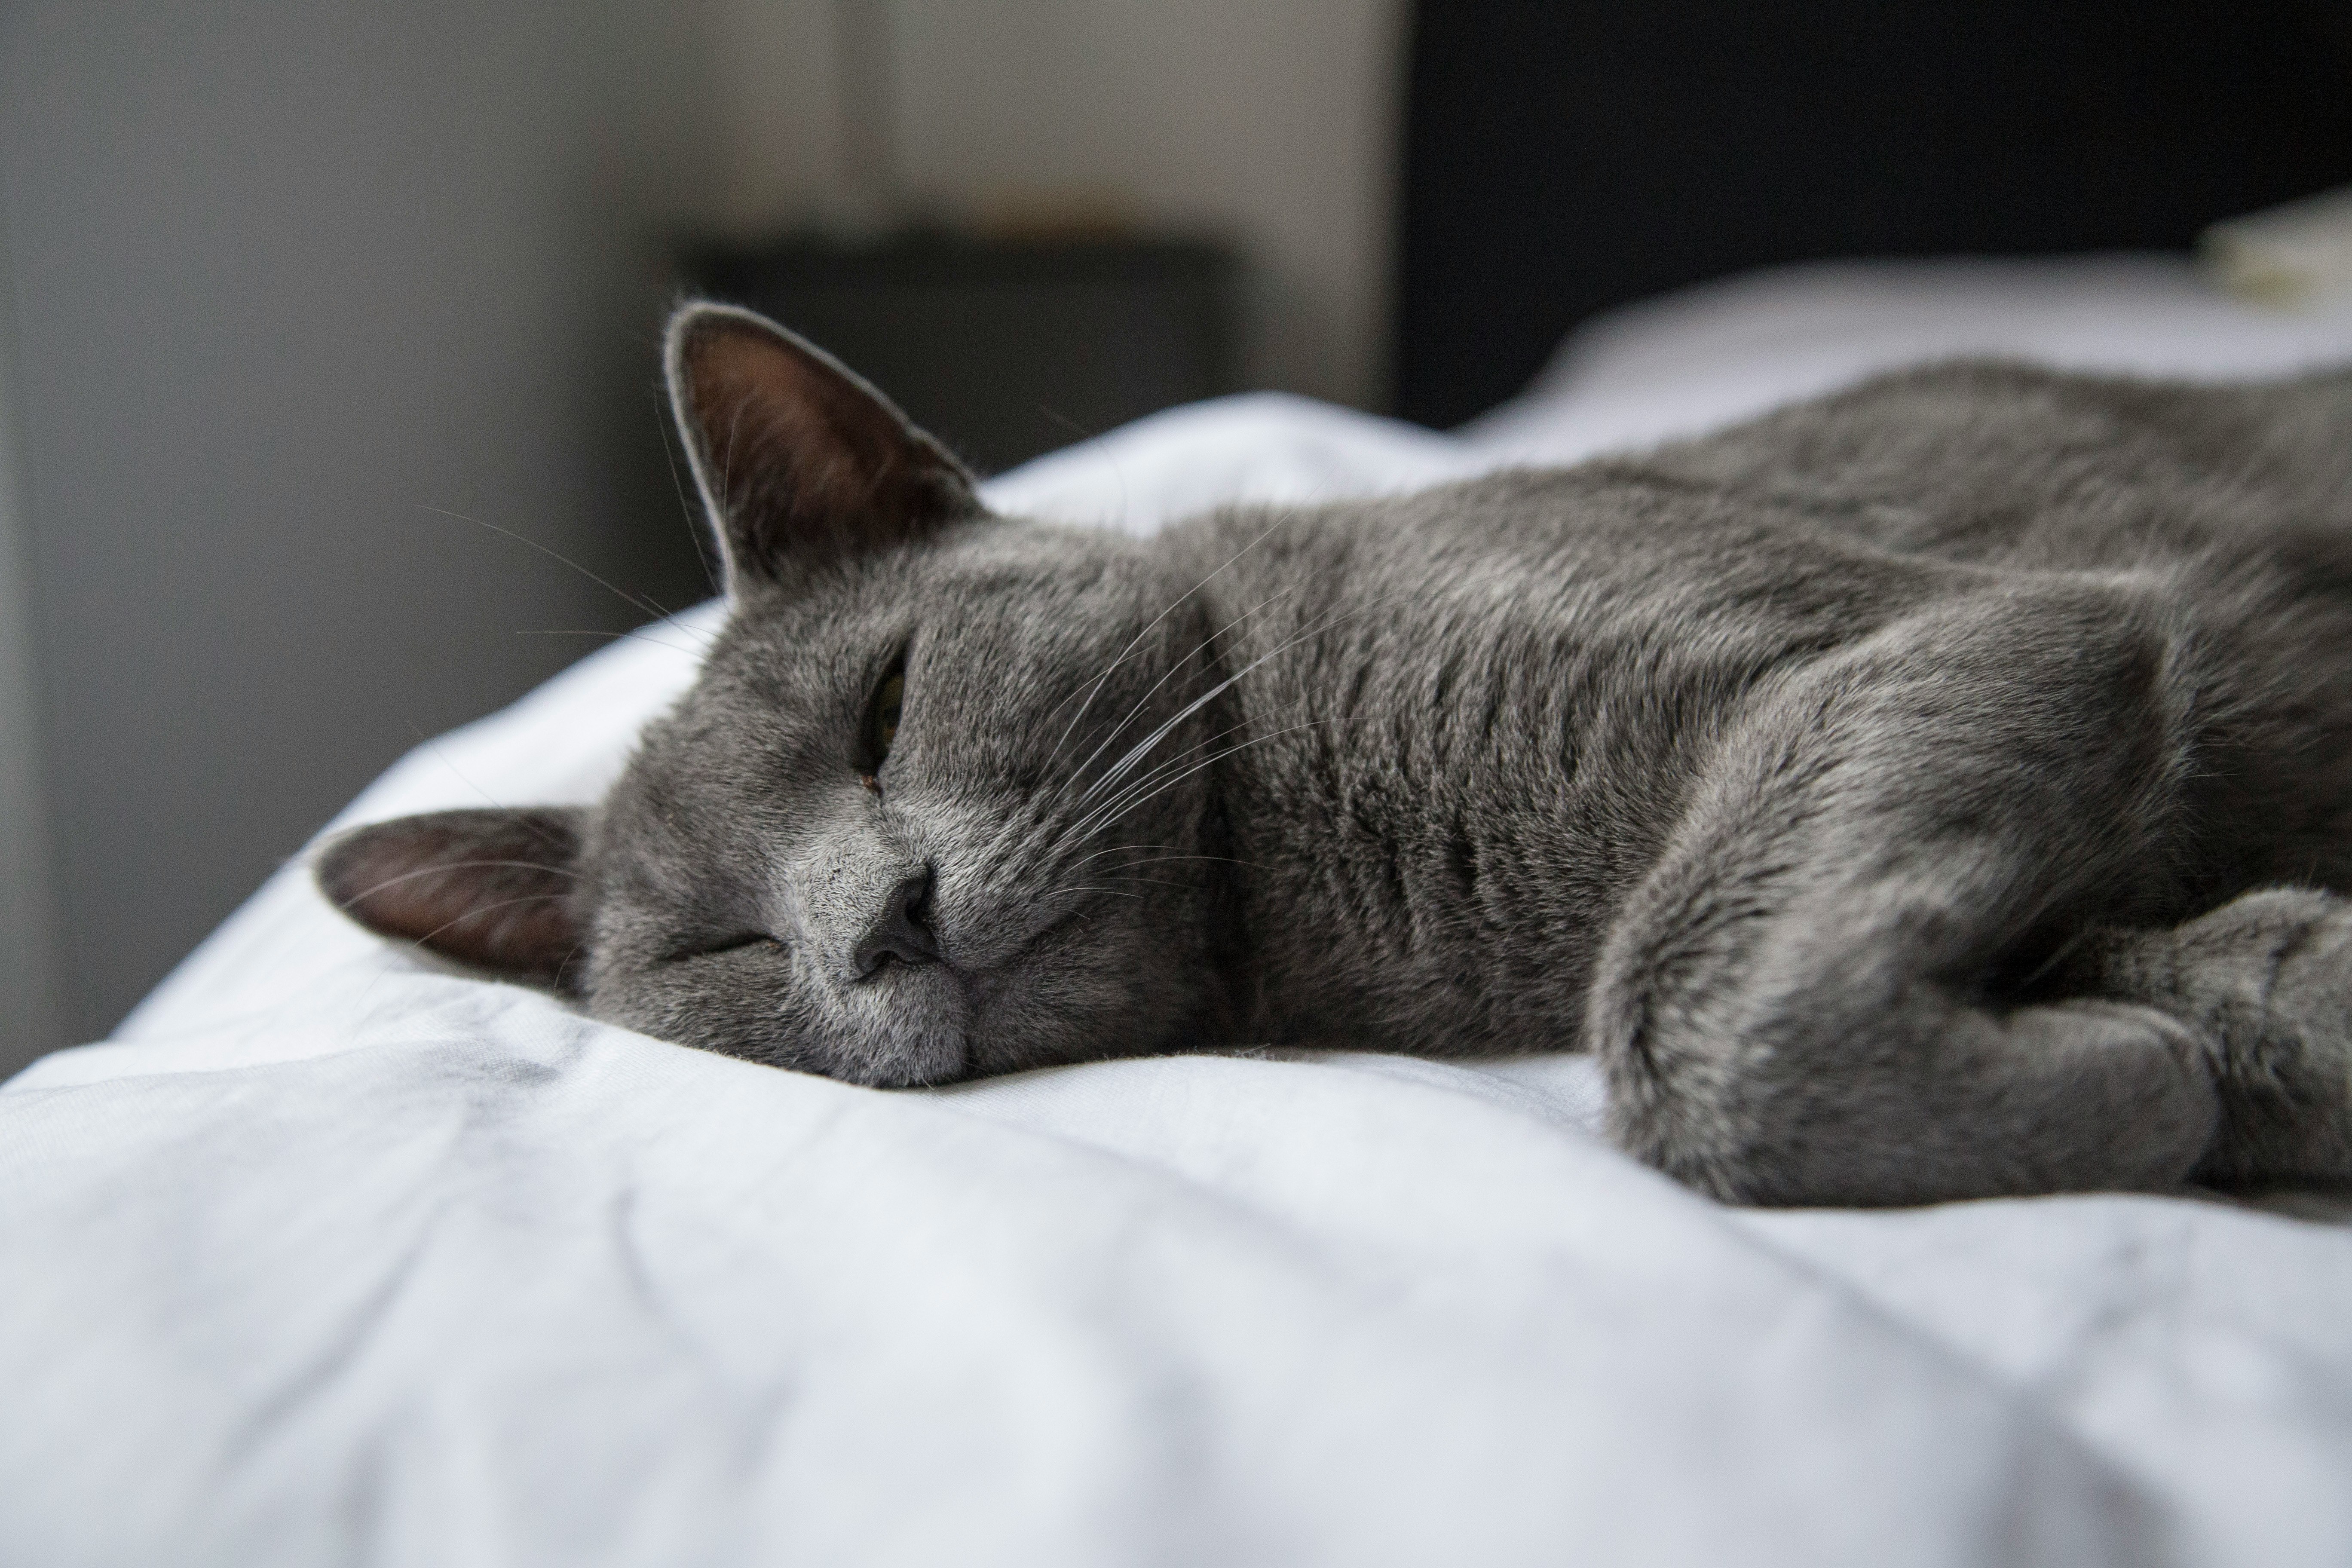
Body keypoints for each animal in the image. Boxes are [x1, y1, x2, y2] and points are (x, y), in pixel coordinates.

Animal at [322, 301, 2352, 1213]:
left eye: (884, 709)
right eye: (723, 952)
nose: (875, 921)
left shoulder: (1959, 629)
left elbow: (1684, 998)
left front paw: (2148, 1082)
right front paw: (2179, 1059)